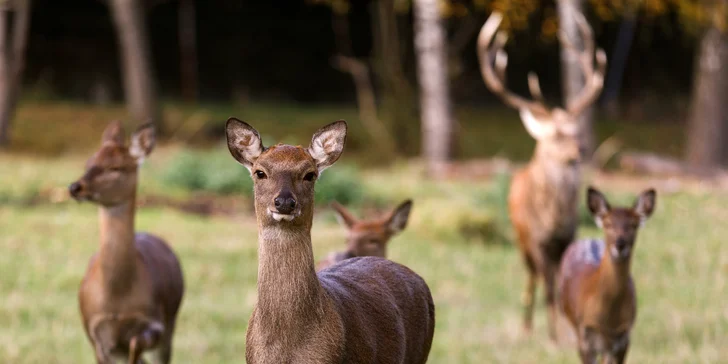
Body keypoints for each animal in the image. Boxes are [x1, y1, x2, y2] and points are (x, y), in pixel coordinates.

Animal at [67, 121, 185, 364]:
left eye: (115, 167)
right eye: (88, 163)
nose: (75, 187)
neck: (117, 300)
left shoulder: (155, 321)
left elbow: (136, 343)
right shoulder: (95, 334)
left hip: (171, 322)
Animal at [478, 11, 608, 342]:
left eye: (576, 131)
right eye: (557, 136)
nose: (580, 148)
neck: (554, 218)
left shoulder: (566, 238)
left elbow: (565, 284)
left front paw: (566, 329)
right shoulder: (537, 240)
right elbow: (549, 287)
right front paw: (553, 336)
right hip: (521, 241)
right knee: (533, 279)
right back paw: (527, 325)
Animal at [556, 186, 660, 362]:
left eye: (633, 225)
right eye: (608, 224)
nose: (620, 244)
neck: (608, 321)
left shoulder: (623, 337)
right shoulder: (585, 335)